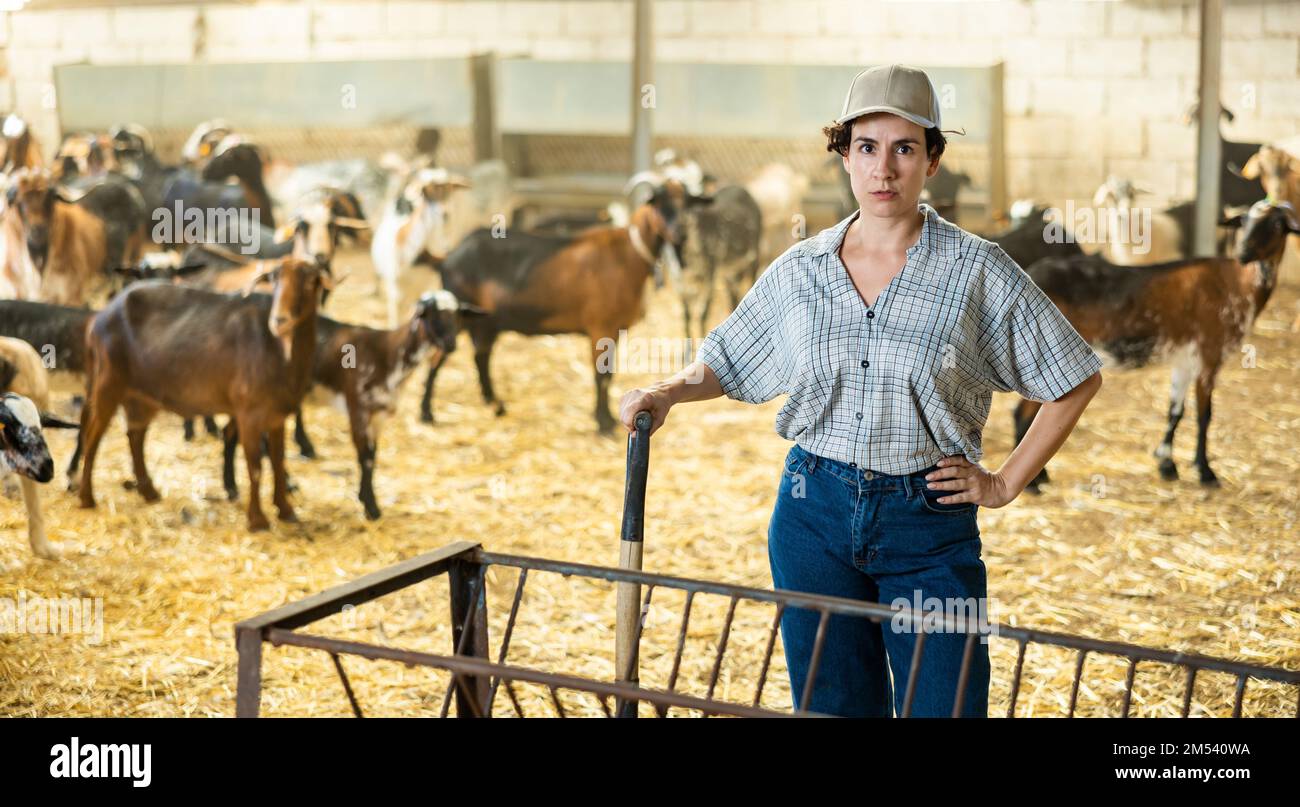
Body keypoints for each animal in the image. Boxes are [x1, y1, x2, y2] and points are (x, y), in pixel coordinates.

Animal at [78, 261, 330, 532]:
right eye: (274, 279)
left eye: (311, 281)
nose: (280, 319)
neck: (278, 350)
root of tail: (98, 319)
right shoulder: (249, 413)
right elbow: (255, 466)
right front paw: (257, 520)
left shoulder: (277, 416)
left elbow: (278, 461)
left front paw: (286, 510)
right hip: (108, 383)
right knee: (93, 435)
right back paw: (86, 497)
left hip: (141, 397)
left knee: (135, 435)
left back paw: (149, 492)